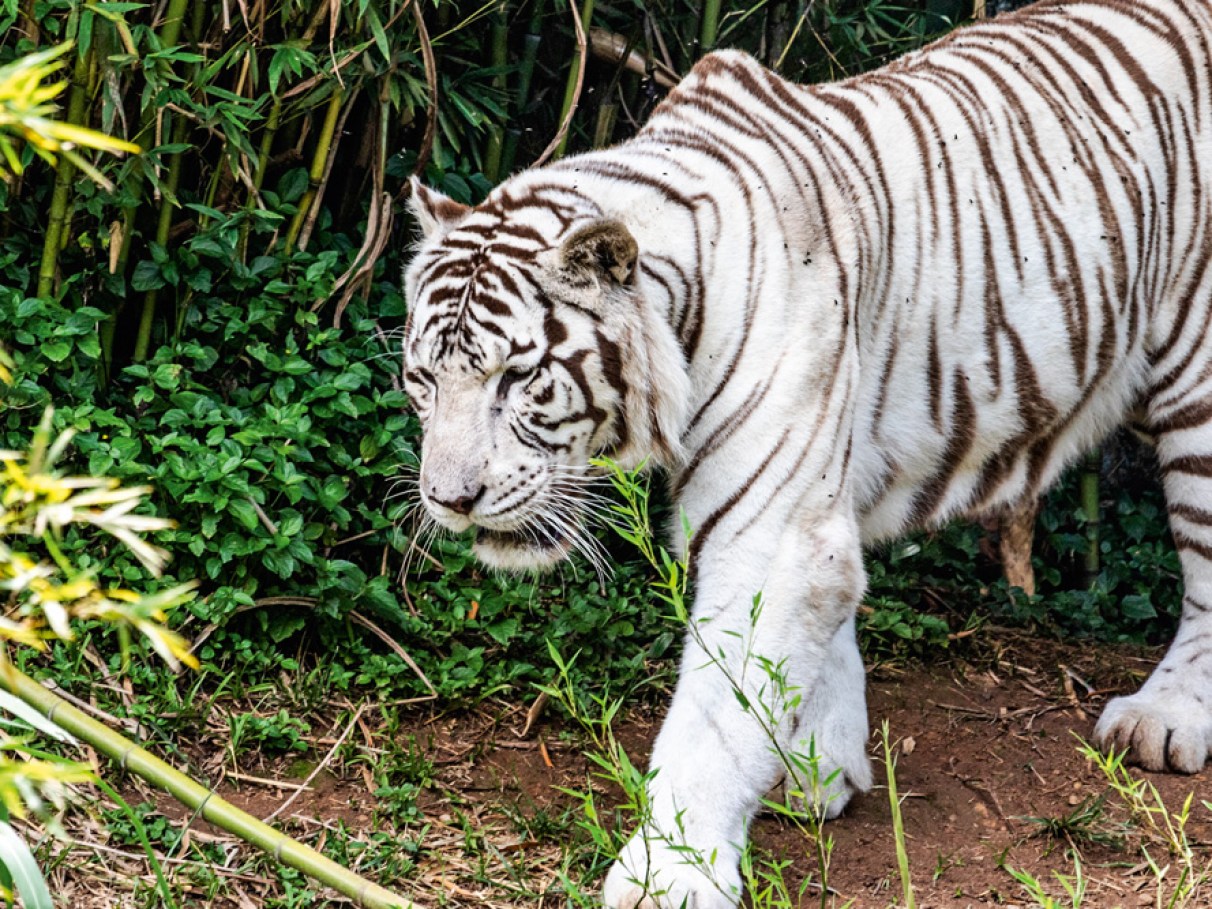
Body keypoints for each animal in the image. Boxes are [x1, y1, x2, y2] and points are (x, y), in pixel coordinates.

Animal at [401, 0, 1212, 904]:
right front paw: (817, 762)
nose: (449, 499)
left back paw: (1164, 718)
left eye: (517, 376)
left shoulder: (772, 529)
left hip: (1198, 383)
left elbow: (714, 715)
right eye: (423, 378)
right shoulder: (816, 491)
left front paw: (669, 871)